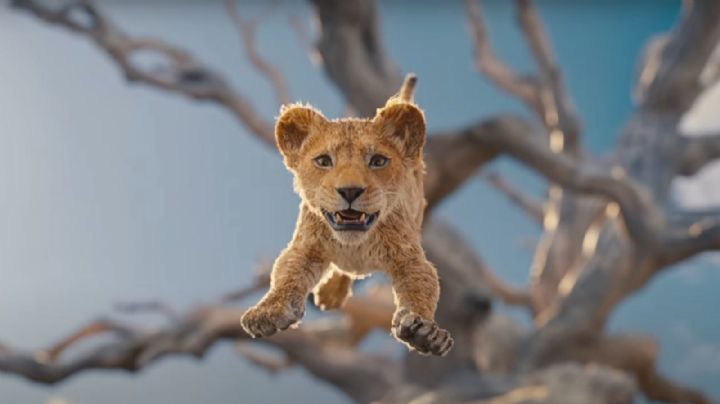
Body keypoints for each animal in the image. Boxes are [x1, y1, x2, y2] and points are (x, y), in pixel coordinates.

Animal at [240, 75, 453, 356]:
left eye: (378, 161)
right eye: (323, 161)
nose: (350, 190)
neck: (355, 245)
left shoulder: (409, 257)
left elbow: (422, 287)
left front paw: (425, 332)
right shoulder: (305, 247)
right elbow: (286, 275)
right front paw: (267, 312)